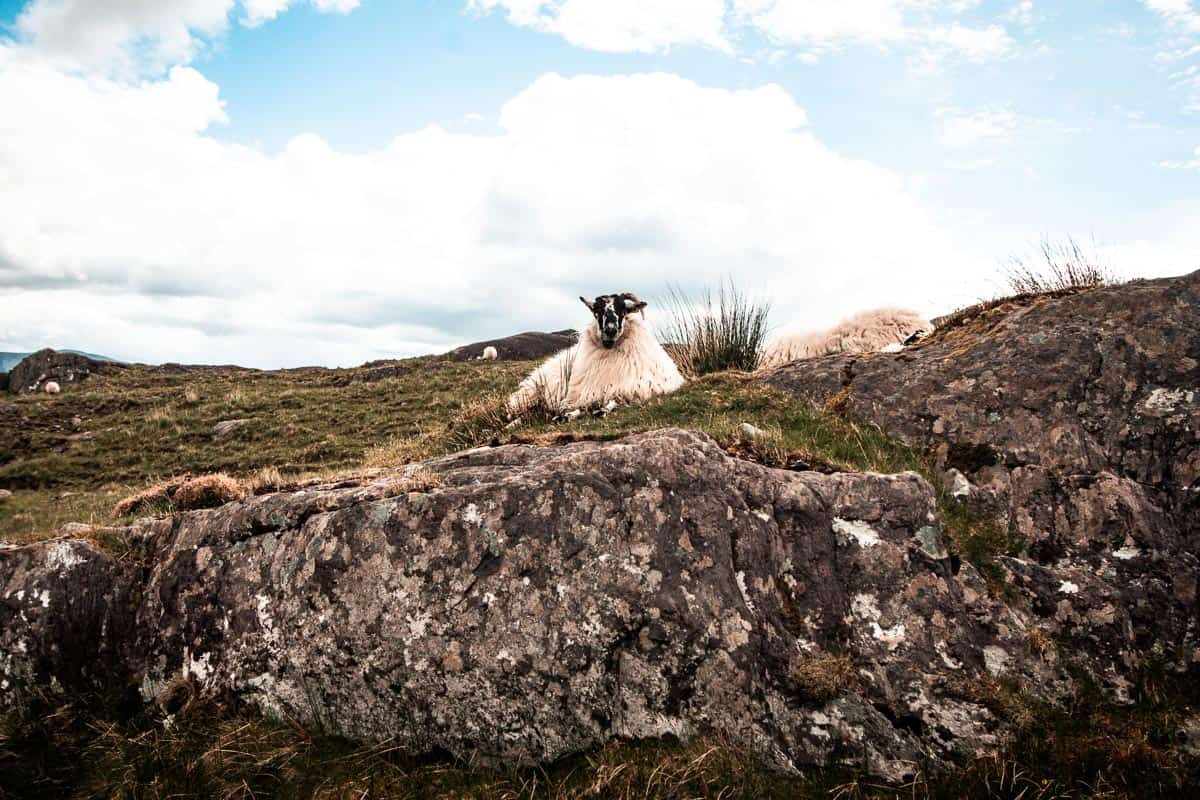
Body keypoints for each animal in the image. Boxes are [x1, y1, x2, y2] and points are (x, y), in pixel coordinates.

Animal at [508, 293, 686, 419]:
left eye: (623, 310)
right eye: (596, 311)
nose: (610, 330)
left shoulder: (632, 389)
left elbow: (613, 401)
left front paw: (600, 410)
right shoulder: (582, 394)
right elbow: (578, 406)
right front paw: (566, 415)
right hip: (531, 393)